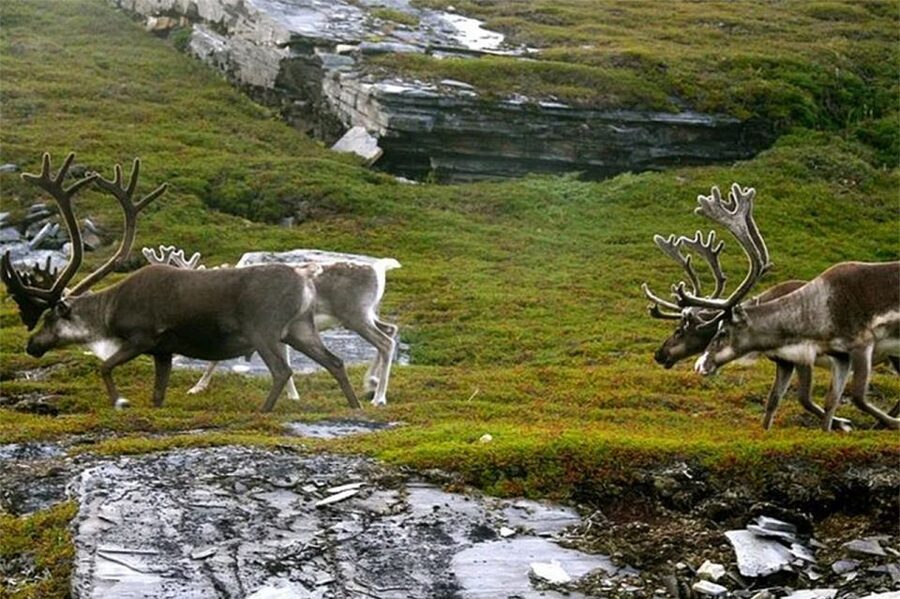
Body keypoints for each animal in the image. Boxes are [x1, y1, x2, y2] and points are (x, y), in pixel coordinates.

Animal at [1, 152, 361, 412]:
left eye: (50, 318)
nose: (31, 345)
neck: (110, 309)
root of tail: (306, 284)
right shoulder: (163, 351)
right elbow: (158, 394)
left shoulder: (142, 337)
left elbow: (104, 368)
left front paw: (119, 401)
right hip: (299, 327)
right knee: (335, 361)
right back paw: (355, 405)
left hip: (263, 328)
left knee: (282, 370)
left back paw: (265, 410)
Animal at [141, 245, 401, 406]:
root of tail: (379, 268)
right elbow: (285, 360)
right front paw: (293, 395)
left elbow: (216, 359)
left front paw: (197, 387)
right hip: (367, 314)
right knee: (391, 331)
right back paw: (370, 383)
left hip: (355, 315)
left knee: (385, 342)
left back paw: (379, 397)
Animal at [644, 183, 899, 431]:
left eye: (679, 330)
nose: (659, 354)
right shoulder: (785, 361)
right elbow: (774, 400)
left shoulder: (805, 356)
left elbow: (806, 399)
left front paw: (843, 423)